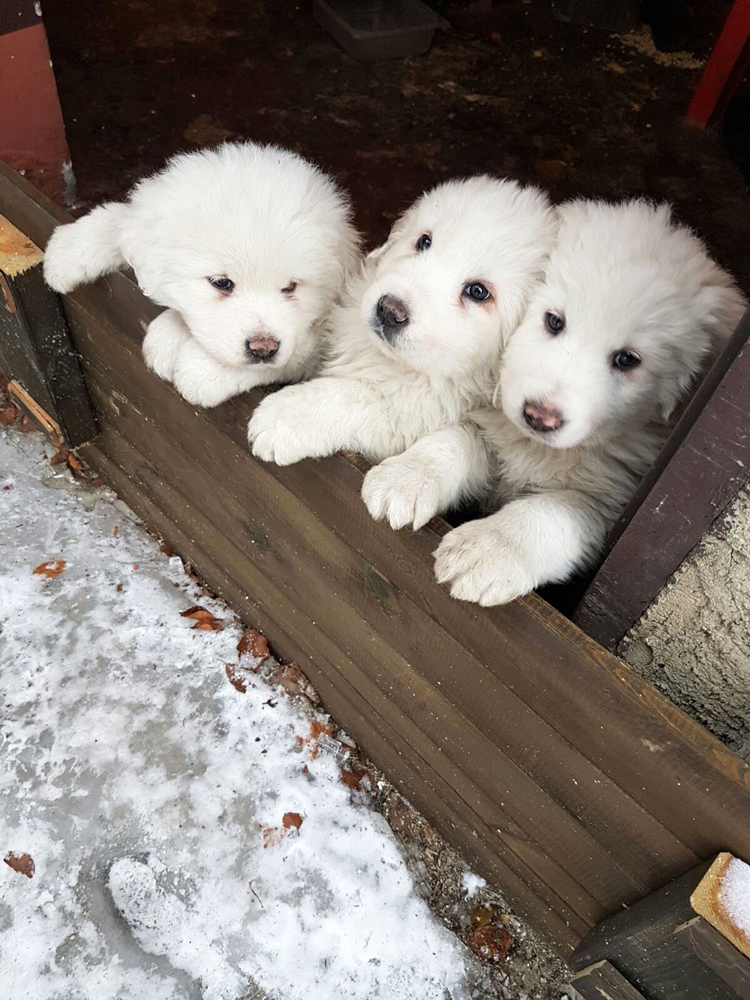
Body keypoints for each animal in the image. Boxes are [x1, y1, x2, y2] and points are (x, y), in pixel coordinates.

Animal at [43, 142, 360, 407]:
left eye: (291, 286)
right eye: (222, 283)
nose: (263, 348)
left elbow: (300, 351)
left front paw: (202, 371)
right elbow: (121, 219)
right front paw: (67, 251)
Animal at [434, 198, 747, 606]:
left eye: (627, 359)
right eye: (554, 321)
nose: (540, 417)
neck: (538, 449)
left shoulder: (605, 505)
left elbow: (547, 513)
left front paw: (485, 550)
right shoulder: (493, 428)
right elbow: (459, 439)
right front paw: (405, 475)